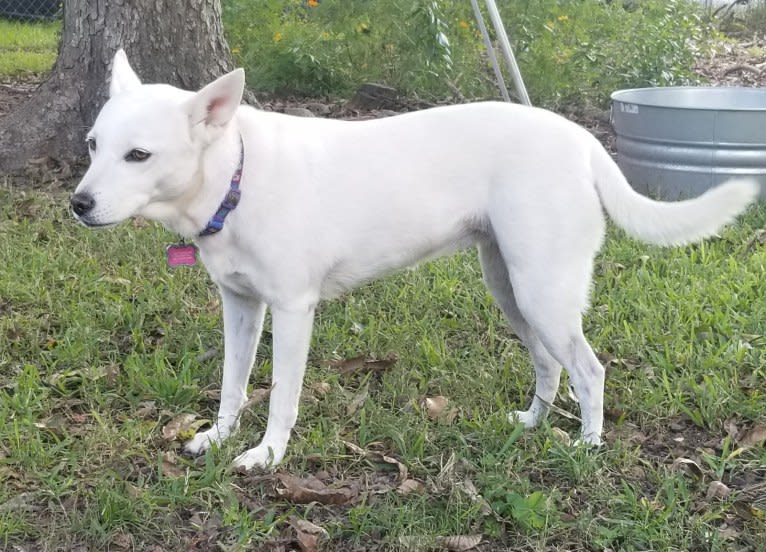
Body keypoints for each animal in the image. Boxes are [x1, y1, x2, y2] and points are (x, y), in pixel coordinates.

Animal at [70, 50, 756, 470]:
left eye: (139, 155)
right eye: (93, 145)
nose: (78, 204)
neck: (236, 175)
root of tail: (583, 140)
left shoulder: (292, 312)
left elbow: (281, 396)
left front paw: (267, 456)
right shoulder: (240, 308)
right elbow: (232, 386)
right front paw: (219, 435)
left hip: (543, 292)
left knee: (589, 370)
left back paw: (586, 445)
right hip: (511, 289)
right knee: (548, 366)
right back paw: (532, 423)